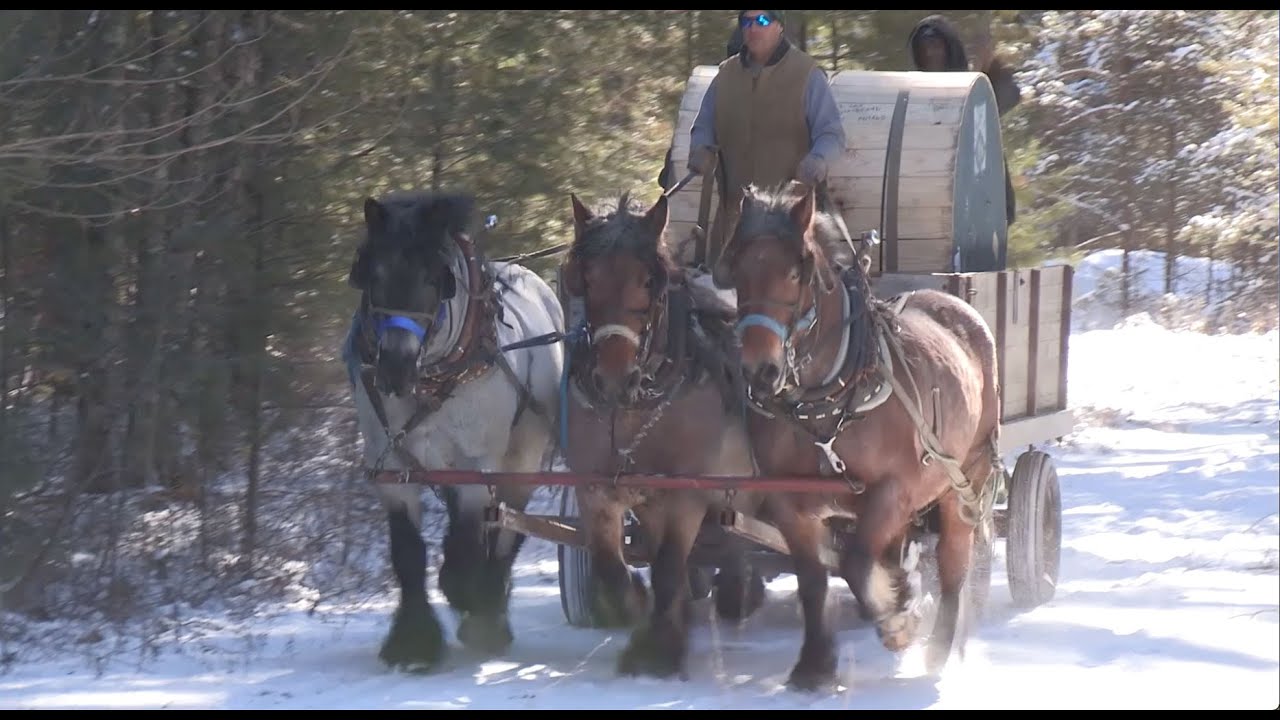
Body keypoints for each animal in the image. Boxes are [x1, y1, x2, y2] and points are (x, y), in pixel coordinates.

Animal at [343, 189, 565, 672]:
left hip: (523, 456)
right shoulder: (391, 466)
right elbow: (408, 554)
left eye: (434, 279)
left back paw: (491, 610)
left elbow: (467, 545)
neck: (434, 375)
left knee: (509, 532)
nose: (394, 367)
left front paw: (470, 601)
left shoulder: (474, 465)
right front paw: (412, 642)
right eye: (374, 274)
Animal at [559, 190, 763, 678]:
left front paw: (659, 648)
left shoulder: (687, 493)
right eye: (586, 278)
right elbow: (612, 566)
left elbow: (670, 565)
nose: (615, 377)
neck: (634, 410)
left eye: (649, 280)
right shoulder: (597, 489)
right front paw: (637, 607)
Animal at [709, 182, 1001, 690]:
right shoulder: (789, 502)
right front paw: (814, 665)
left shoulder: (893, 490)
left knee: (954, 564)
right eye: (739, 272)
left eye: (794, 273)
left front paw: (898, 623)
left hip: (966, 478)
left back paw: (940, 649)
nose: (759, 371)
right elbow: (812, 580)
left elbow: (855, 564)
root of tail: (962, 308)